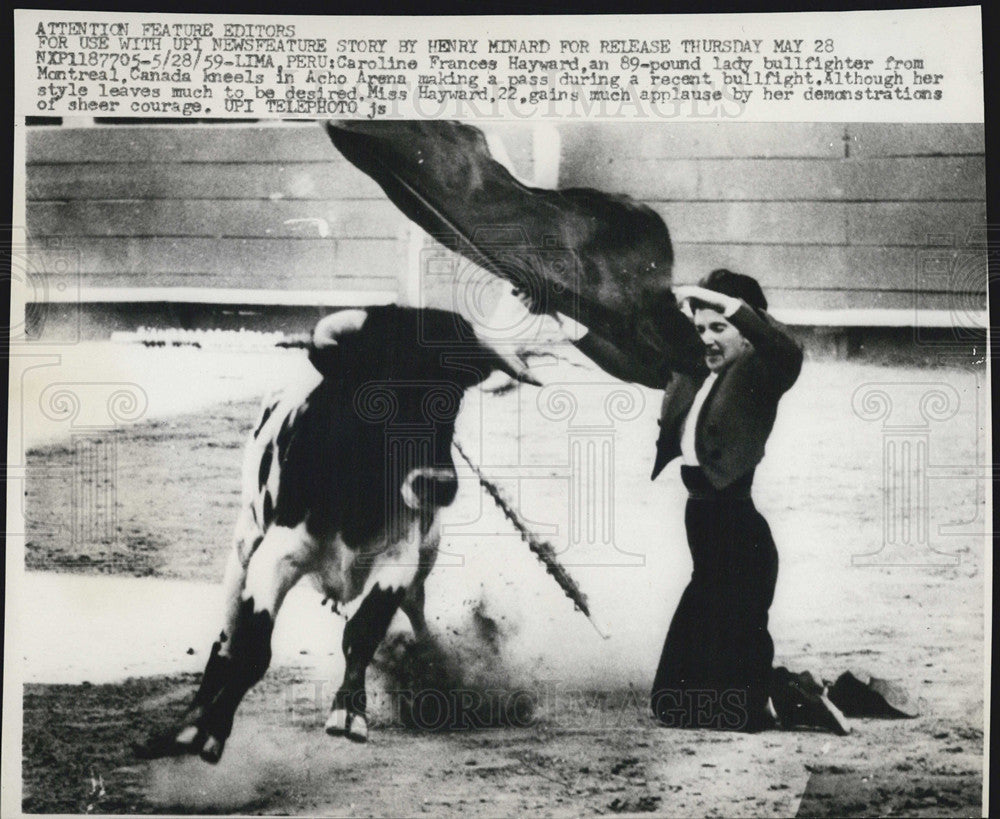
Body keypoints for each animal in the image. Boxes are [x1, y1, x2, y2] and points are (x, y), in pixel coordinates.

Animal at [137, 306, 540, 764]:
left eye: (454, 396)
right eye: (380, 394)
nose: (437, 485)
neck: (357, 490)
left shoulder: (398, 561)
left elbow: (362, 632)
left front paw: (349, 713)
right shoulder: (276, 557)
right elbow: (253, 649)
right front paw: (212, 731)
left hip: (425, 559)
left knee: (416, 610)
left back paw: (432, 670)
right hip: (244, 547)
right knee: (226, 639)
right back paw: (191, 721)